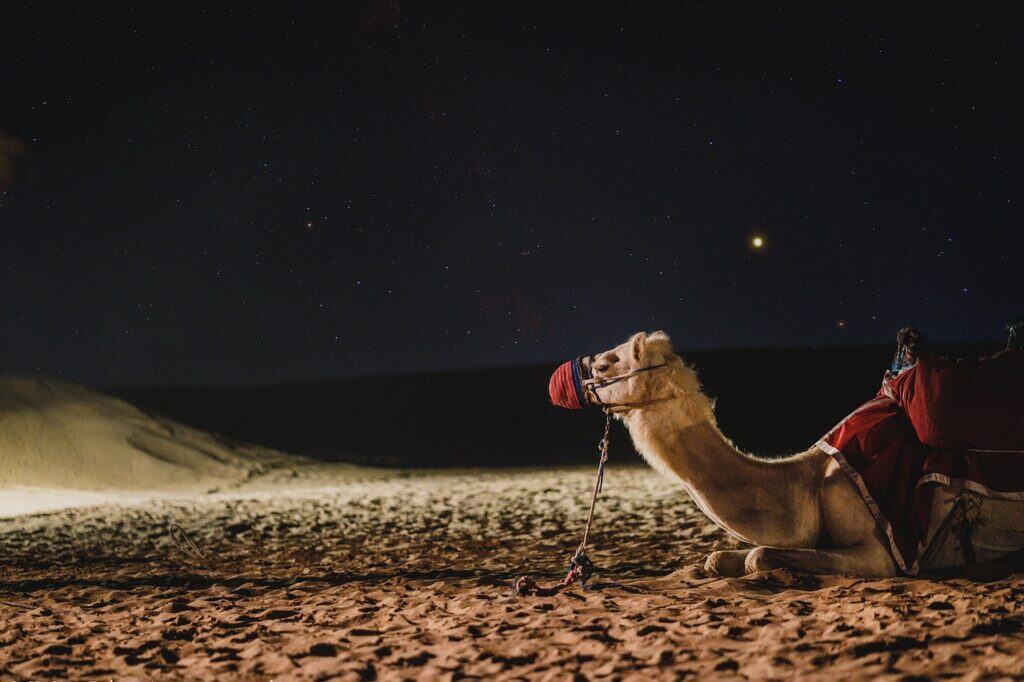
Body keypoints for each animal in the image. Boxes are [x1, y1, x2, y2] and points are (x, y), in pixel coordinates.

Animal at [586, 331, 901, 577]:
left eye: (604, 365)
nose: (583, 374)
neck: (805, 484)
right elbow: (716, 558)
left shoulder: (878, 554)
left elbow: (757, 556)